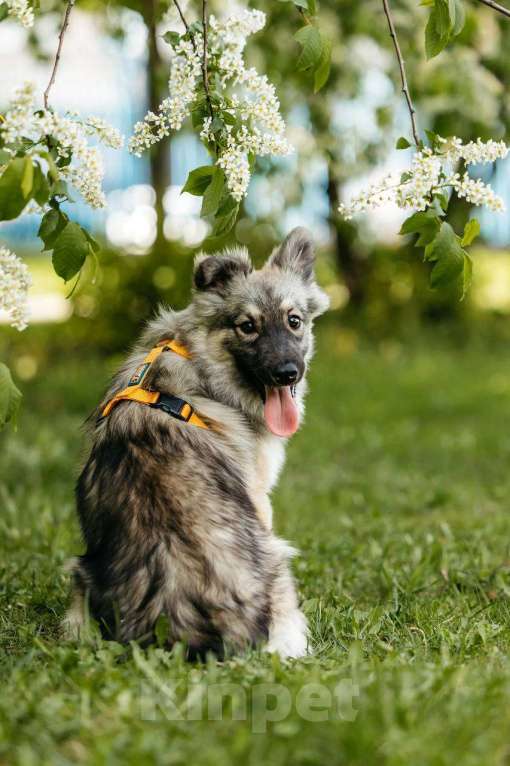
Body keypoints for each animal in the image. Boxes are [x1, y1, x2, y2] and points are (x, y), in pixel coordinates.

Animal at [65, 226, 328, 660]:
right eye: (247, 326)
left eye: (294, 321)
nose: (287, 373)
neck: (201, 360)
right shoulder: (259, 500)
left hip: (78, 577)